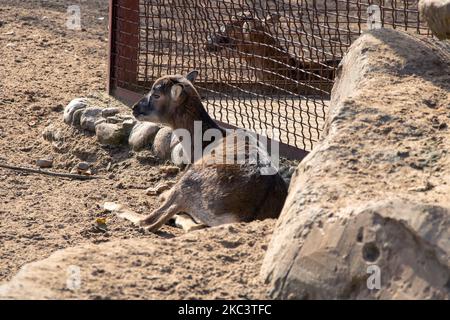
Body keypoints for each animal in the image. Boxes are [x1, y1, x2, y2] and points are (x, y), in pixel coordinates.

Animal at [104, 71, 288, 231]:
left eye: (156, 95)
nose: (135, 108)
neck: (201, 144)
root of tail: (243, 217)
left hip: (189, 183)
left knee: (149, 222)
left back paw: (111, 204)